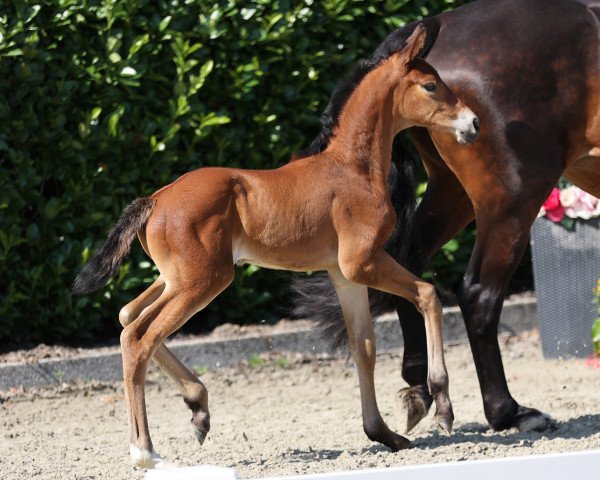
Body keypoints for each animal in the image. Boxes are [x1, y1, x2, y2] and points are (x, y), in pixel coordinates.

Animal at [74, 24, 478, 466]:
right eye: (430, 85)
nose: (474, 123)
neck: (351, 169)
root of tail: (155, 200)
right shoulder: (364, 262)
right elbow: (428, 294)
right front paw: (443, 407)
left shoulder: (343, 274)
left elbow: (364, 346)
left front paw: (384, 434)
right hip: (204, 280)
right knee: (139, 337)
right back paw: (145, 451)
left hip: (174, 279)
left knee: (128, 316)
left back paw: (198, 408)